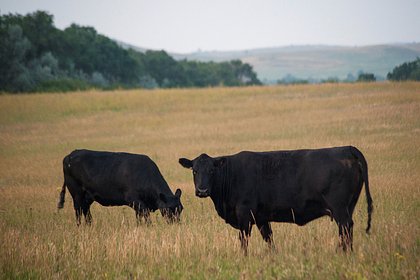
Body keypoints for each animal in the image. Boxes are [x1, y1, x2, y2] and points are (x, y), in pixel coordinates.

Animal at [179, 145, 372, 253]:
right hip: (348, 206)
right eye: (194, 171)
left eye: (212, 171)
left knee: (345, 228)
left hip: (339, 208)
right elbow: (269, 239)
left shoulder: (244, 214)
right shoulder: (262, 218)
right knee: (346, 230)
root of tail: (347, 148)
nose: (202, 190)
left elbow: (244, 239)